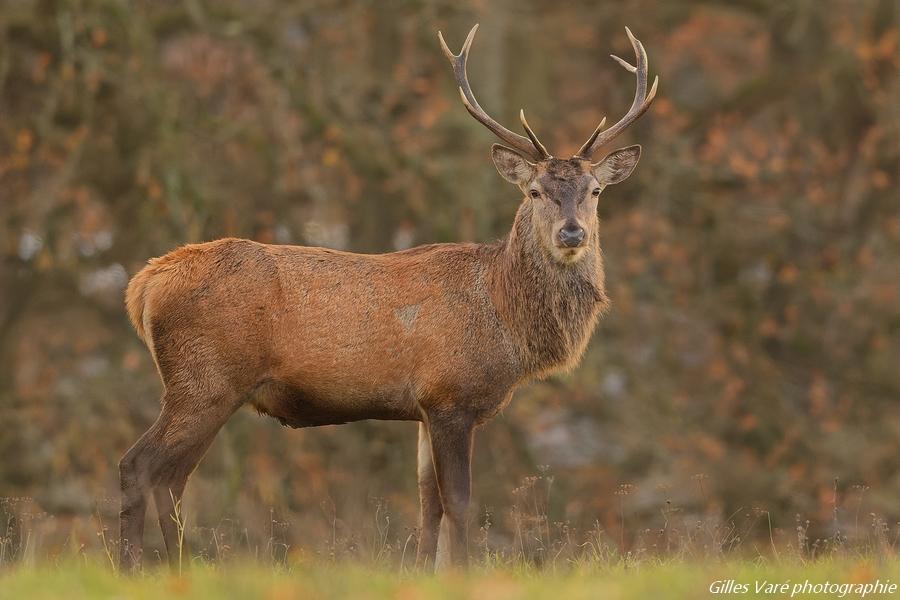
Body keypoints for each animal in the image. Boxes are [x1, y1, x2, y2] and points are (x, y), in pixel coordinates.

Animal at [118, 24, 652, 572]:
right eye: (535, 191)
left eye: (594, 191)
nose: (572, 233)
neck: (507, 323)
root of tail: (144, 285)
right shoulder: (451, 395)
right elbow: (458, 501)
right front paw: (461, 572)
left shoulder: (424, 408)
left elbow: (428, 504)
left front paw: (421, 571)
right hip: (204, 380)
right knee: (139, 465)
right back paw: (133, 566)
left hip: (205, 386)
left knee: (171, 478)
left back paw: (178, 566)